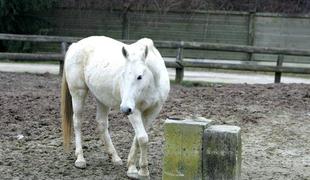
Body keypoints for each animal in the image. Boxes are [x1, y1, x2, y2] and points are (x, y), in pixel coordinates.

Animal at [61, 35, 170, 179]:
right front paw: (140, 171)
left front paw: (133, 168)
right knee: (77, 122)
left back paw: (115, 157)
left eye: (139, 76)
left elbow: (138, 138)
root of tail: (75, 45)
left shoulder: (152, 111)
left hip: (102, 98)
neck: (152, 83)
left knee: (101, 124)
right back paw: (80, 159)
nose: (124, 109)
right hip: (78, 92)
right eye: (122, 75)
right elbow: (142, 138)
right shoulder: (135, 111)